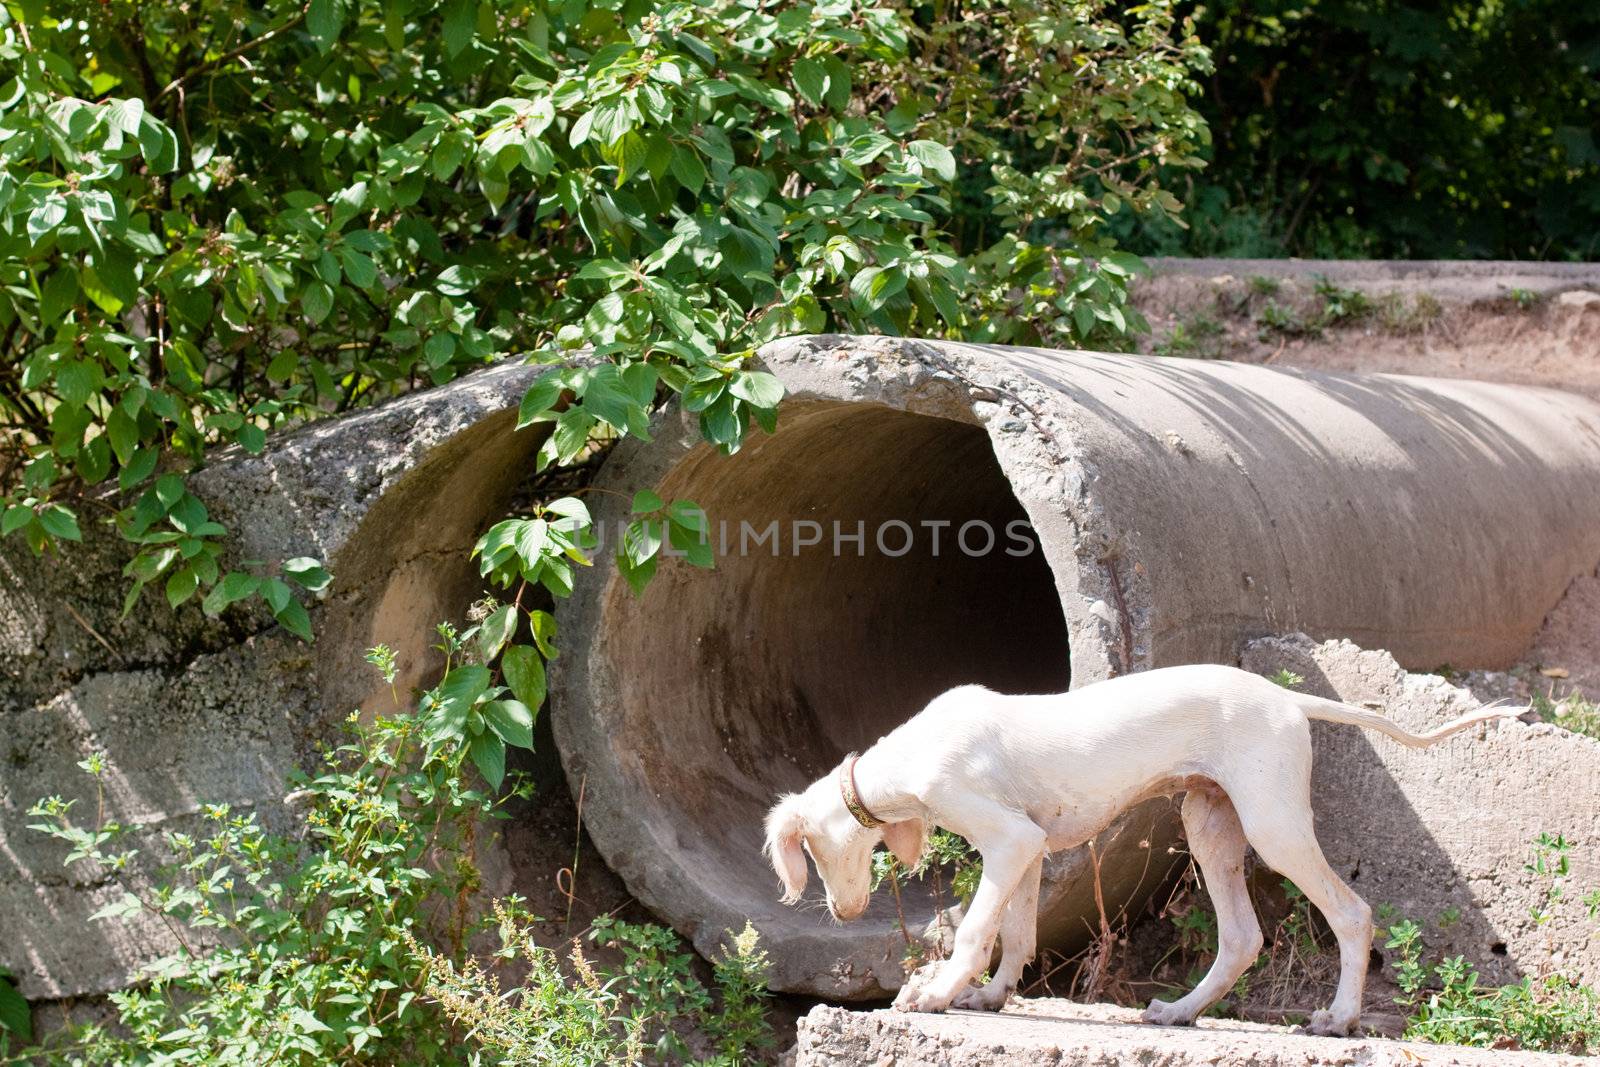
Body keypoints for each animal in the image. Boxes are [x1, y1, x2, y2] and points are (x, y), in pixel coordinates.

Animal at [768, 662, 1516, 1036]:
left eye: (816, 852)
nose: (842, 914)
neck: (915, 750)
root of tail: (1285, 699)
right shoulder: (1029, 849)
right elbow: (1018, 931)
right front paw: (993, 996)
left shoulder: (1011, 840)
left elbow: (979, 929)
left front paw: (939, 992)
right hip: (1208, 822)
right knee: (1242, 937)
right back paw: (1181, 1012)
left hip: (1272, 826)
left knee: (1353, 913)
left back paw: (1338, 1018)